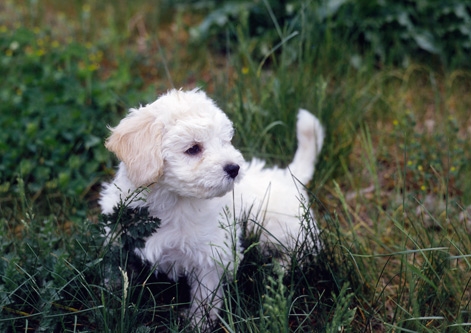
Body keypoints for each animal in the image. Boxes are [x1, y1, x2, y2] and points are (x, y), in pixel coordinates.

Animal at [100, 89, 324, 330]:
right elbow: (115, 267)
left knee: (300, 254)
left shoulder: (211, 256)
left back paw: (277, 269)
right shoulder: (119, 234)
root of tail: (286, 176)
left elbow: (205, 295)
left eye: (225, 141)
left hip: (282, 229)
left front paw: (198, 323)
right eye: (193, 149)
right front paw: (111, 294)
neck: (173, 201)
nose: (234, 168)